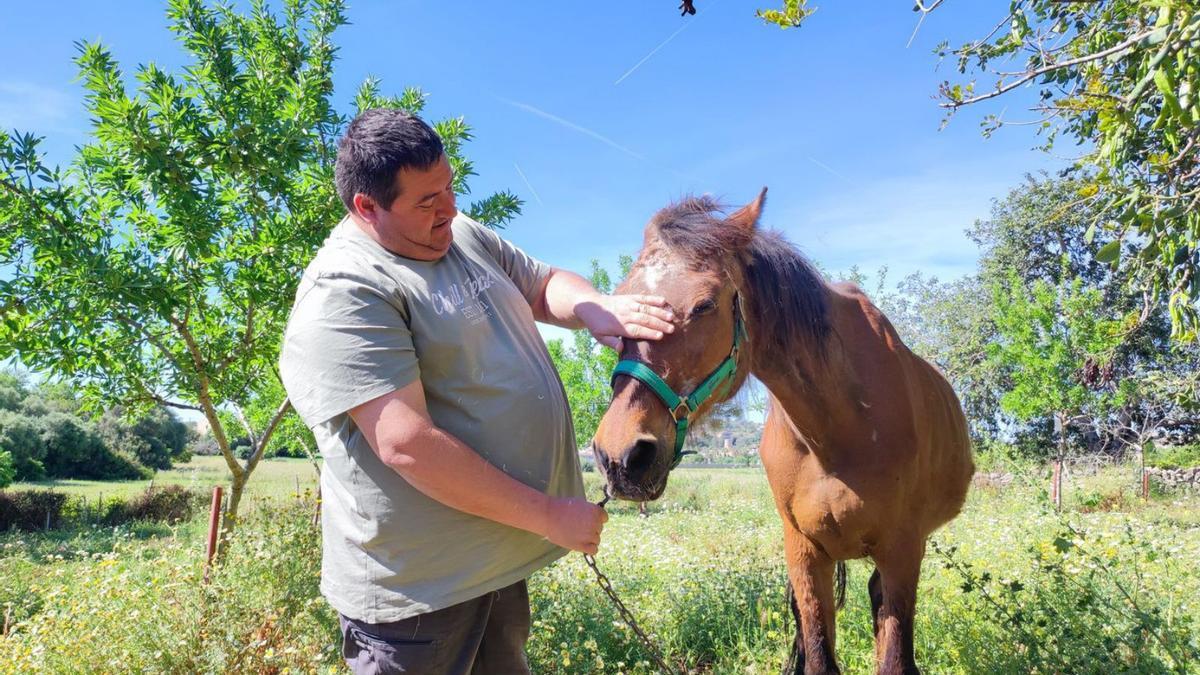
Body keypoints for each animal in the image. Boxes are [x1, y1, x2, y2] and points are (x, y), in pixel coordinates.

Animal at [590, 189, 974, 672]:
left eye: (705, 304)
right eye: (621, 303)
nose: (620, 455)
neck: (839, 427)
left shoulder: (902, 553)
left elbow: (894, 658)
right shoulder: (804, 553)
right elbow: (819, 657)